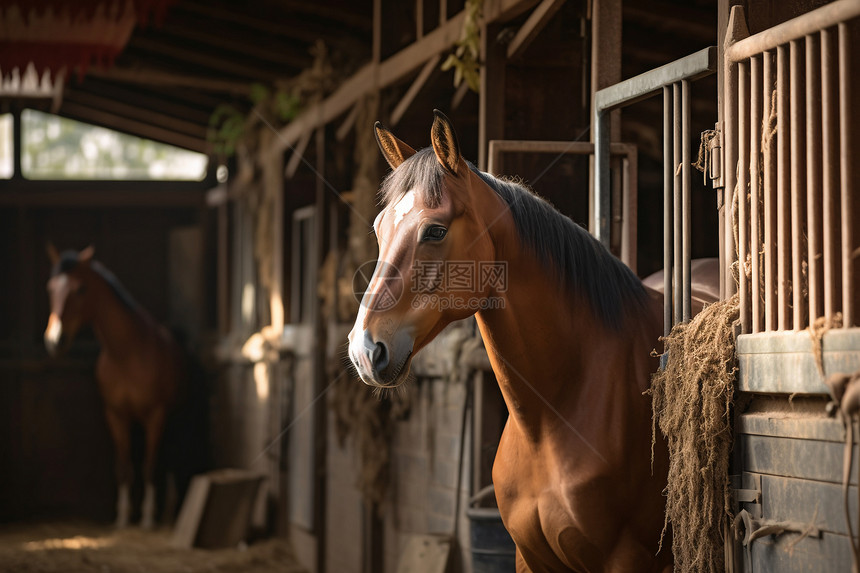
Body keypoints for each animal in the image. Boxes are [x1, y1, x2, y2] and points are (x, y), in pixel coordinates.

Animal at [44, 246, 186, 528]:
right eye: (50, 288)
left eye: (81, 289)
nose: (55, 340)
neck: (127, 354)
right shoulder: (115, 415)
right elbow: (123, 467)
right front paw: (122, 517)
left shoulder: (156, 414)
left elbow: (149, 466)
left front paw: (147, 518)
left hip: (173, 418)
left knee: (171, 457)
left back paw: (168, 511)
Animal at [346, 109, 676, 568]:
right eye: (379, 228)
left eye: (435, 231)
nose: (364, 350)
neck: (551, 422)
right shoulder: (529, 556)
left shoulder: (626, 558)